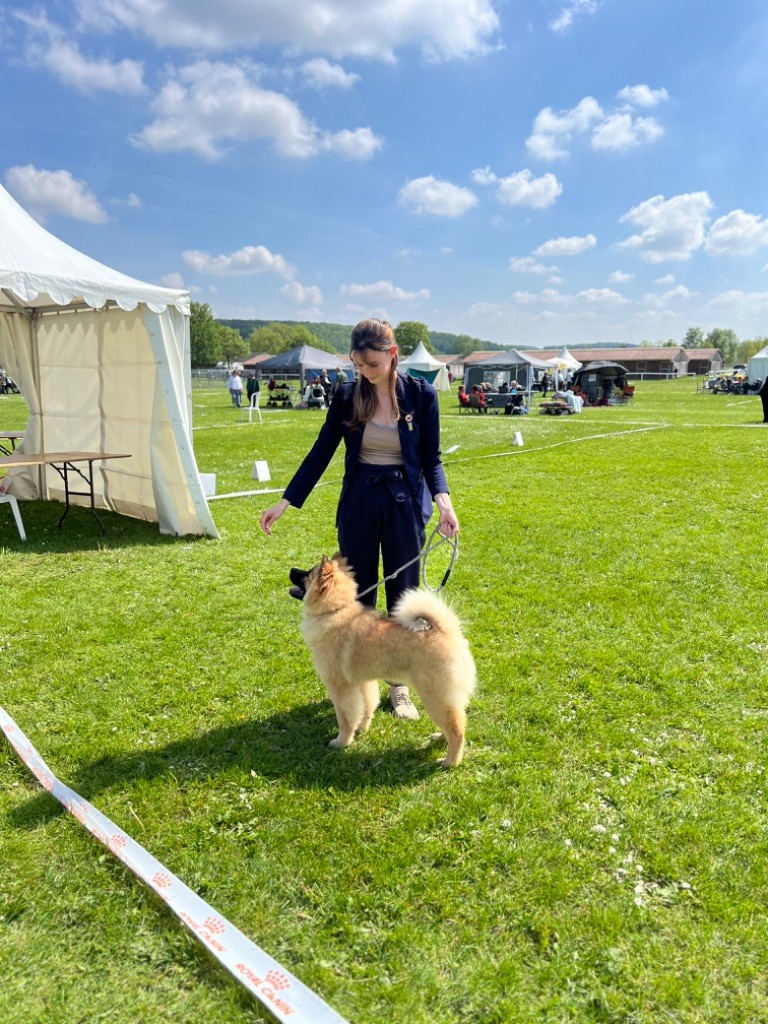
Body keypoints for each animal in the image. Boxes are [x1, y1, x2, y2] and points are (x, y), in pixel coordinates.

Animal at [290, 557, 479, 765]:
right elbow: (367, 705)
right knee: (453, 723)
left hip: (435, 696)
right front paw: (362, 729)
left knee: (457, 730)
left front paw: (342, 742)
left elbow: (346, 718)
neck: (334, 611)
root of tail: (447, 633)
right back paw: (439, 738)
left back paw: (448, 762)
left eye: (307, 573)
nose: (291, 569)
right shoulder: (363, 682)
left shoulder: (341, 687)